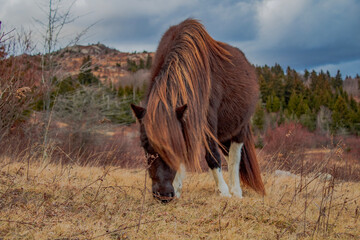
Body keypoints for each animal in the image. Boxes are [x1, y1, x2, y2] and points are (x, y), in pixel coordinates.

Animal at [131, 18, 264, 202]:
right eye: (144, 146)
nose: (163, 195)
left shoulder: (207, 124)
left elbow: (212, 156)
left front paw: (223, 192)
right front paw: (178, 189)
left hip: (239, 128)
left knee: (235, 157)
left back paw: (236, 191)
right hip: (223, 135)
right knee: (229, 154)